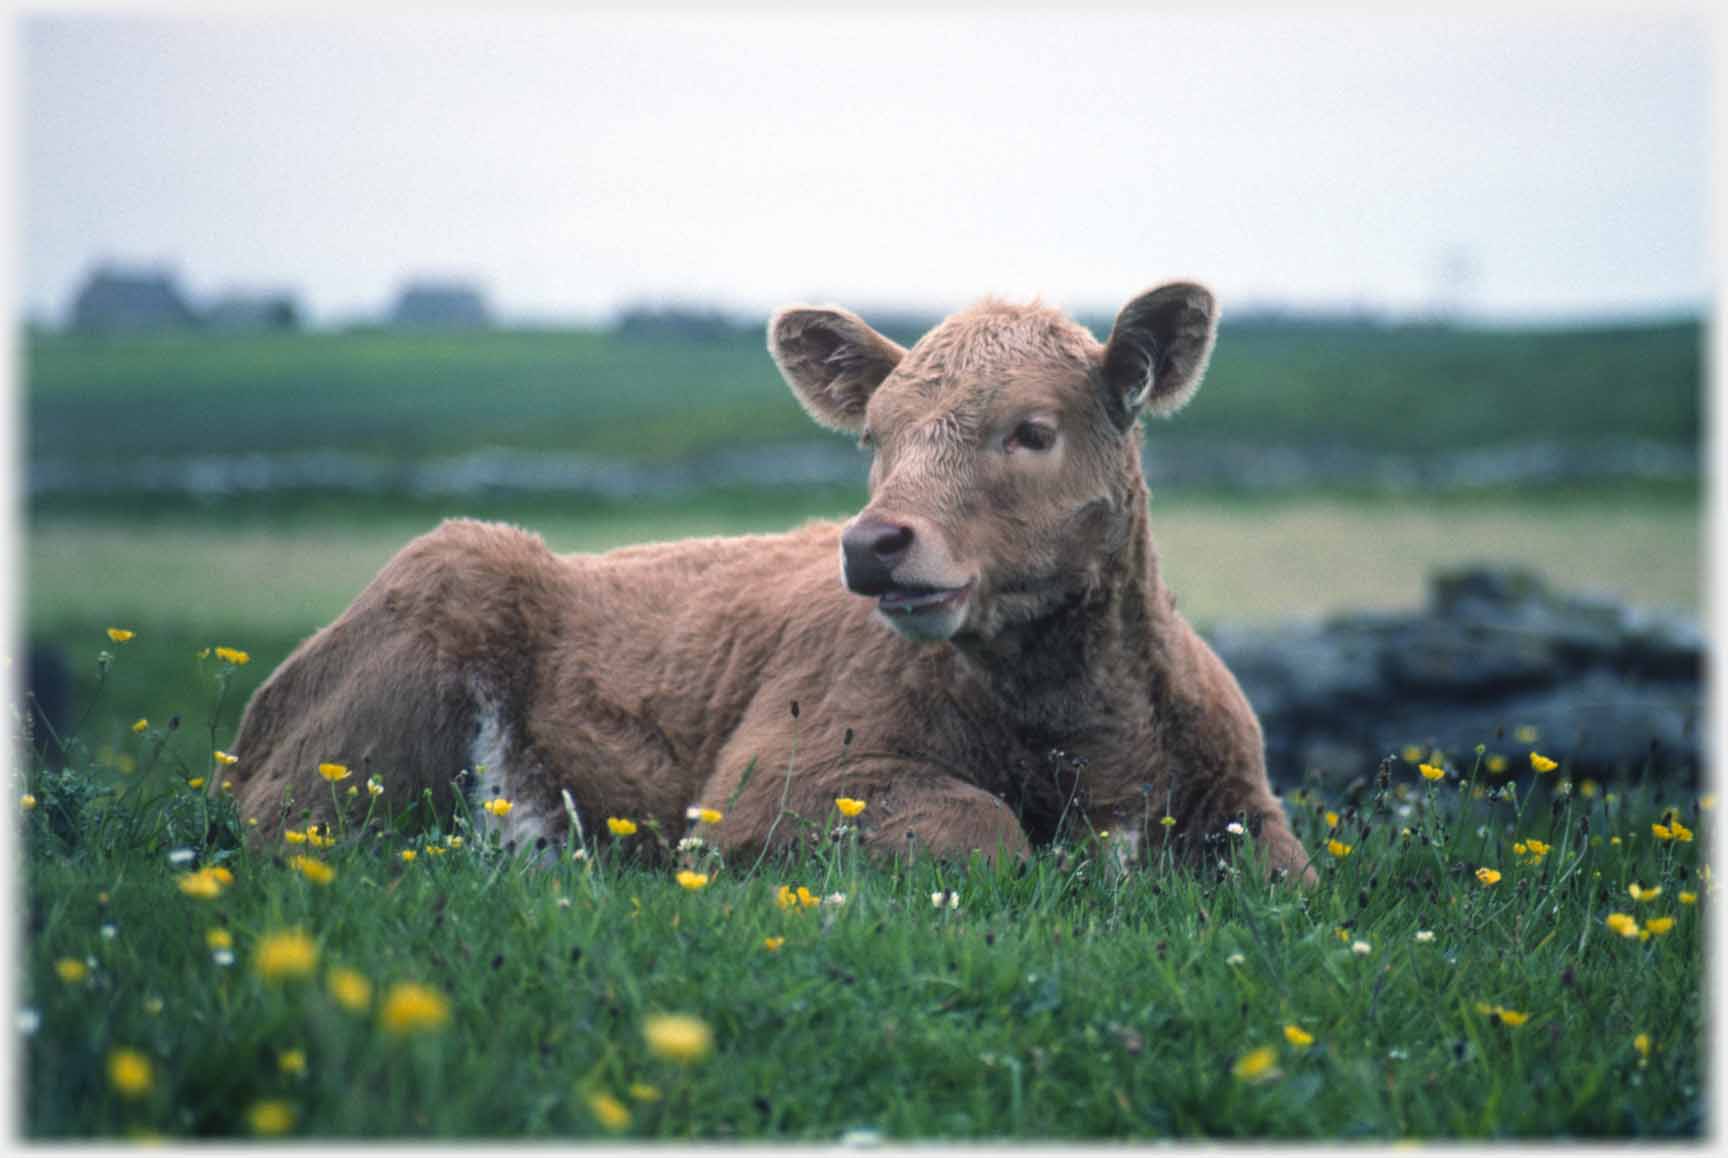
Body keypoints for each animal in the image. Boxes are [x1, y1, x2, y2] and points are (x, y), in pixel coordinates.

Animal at [226, 281, 1306, 881]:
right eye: (876, 437)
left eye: (1033, 430)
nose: (873, 544)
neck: (1086, 736)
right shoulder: (769, 790)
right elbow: (985, 828)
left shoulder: (1247, 796)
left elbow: (1288, 875)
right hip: (396, 669)